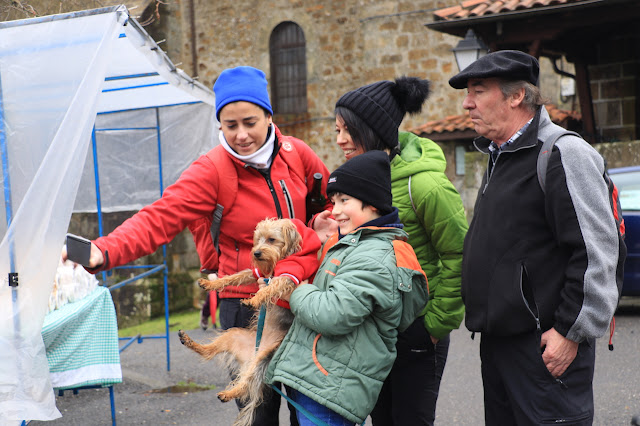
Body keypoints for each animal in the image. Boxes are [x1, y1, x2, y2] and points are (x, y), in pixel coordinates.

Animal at [178, 218, 302, 424]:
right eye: (258, 239)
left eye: (271, 239)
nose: (256, 253)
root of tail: (249, 355)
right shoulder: (257, 272)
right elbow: (235, 276)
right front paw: (211, 283)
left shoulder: (289, 277)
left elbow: (272, 286)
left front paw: (254, 299)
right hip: (233, 334)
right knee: (208, 352)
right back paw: (188, 341)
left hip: (262, 360)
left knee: (247, 383)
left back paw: (229, 393)